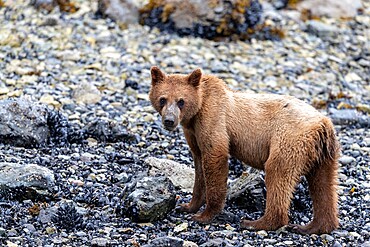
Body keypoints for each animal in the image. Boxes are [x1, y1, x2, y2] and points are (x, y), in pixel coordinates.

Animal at [149, 66, 340, 235]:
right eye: (163, 99)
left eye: (181, 101)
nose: (169, 120)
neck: (197, 110)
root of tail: (323, 123)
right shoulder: (193, 133)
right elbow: (199, 163)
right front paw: (187, 206)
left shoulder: (214, 119)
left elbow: (215, 156)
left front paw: (204, 215)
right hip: (324, 155)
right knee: (323, 185)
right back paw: (313, 226)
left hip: (289, 139)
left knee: (278, 173)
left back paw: (256, 222)